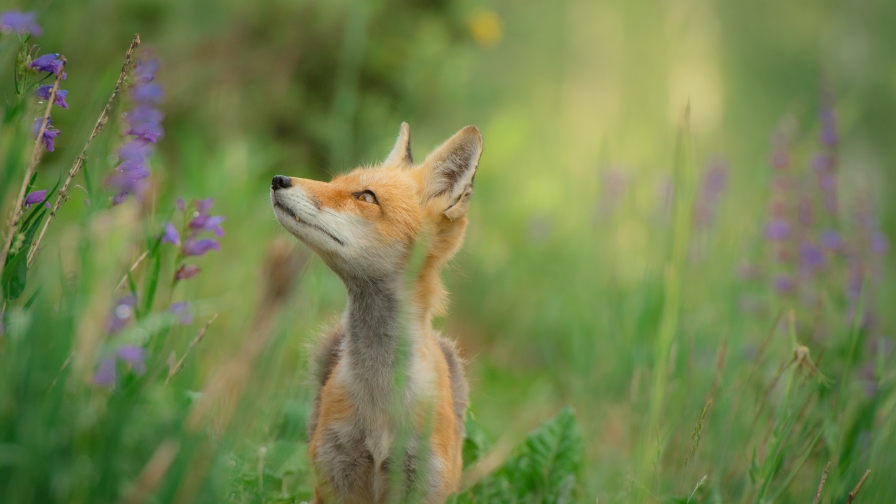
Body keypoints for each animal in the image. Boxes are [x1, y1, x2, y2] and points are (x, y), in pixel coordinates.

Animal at [270, 123, 482, 503]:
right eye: (334, 182)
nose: (278, 179)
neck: (379, 404)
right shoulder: (337, 474)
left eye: (366, 197)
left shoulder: (423, 482)